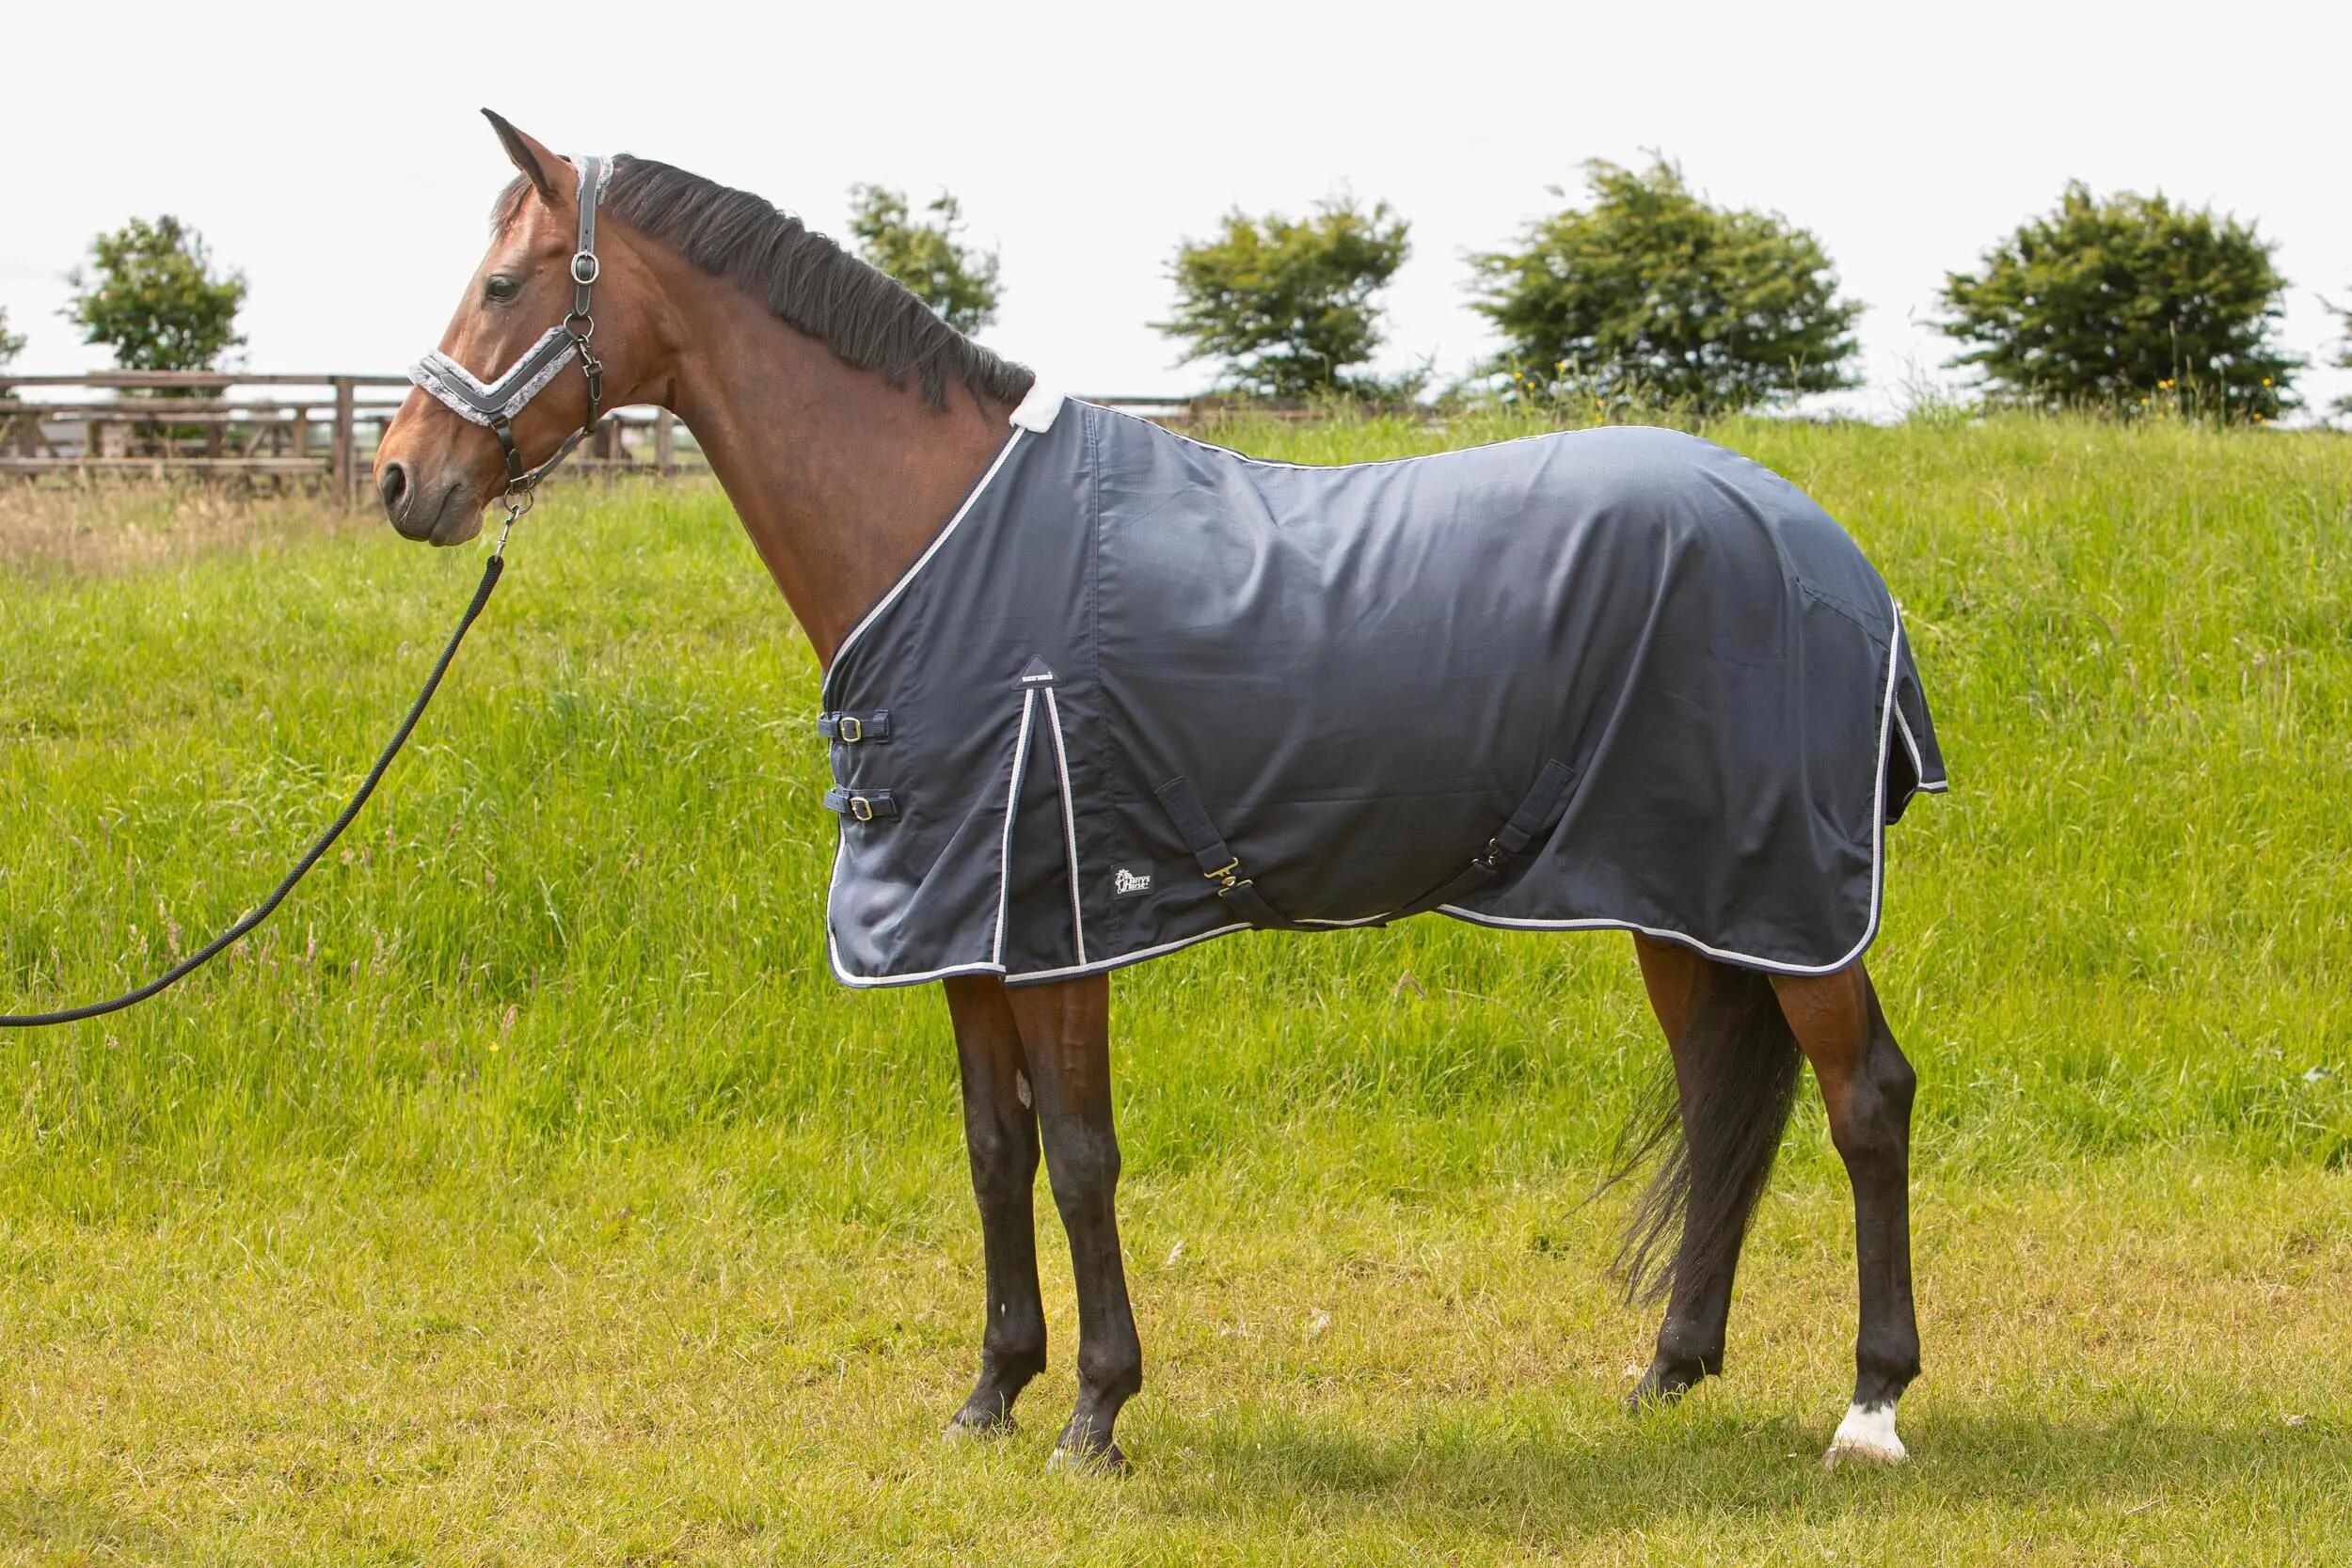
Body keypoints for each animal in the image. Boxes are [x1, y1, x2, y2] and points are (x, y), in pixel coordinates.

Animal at [375, 111, 1942, 1473]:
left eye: (503, 283)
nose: (402, 480)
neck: (943, 538)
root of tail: (1828, 550)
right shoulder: (965, 927)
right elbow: (994, 1149)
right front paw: (992, 1391)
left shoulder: (1059, 921)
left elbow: (1080, 1156)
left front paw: (1095, 1410)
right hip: (1683, 899)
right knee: (1724, 1092)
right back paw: (1669, 1364)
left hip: (1793, 897)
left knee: (1865, 1095)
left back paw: (1870, 1404)